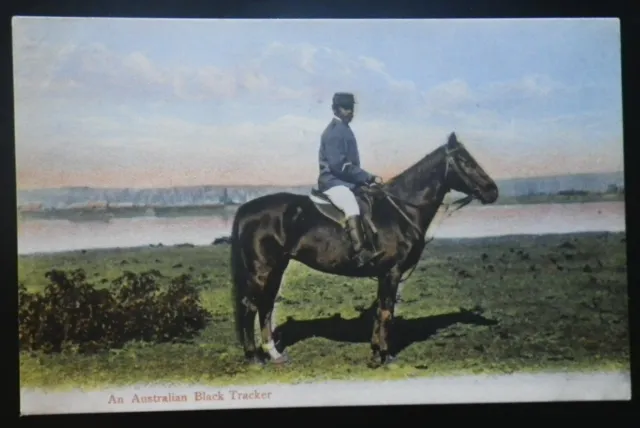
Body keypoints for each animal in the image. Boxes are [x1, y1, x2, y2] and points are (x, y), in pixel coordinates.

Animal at [230, 130, 500, 364]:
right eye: (465, 161)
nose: (493, 192)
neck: (400, 210)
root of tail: (246, 209)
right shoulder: (392, 272)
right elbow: (387, 312)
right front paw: (383, 356)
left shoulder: (385, 274)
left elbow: (381, 311)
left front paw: (377, 350)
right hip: (262, 271)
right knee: (250, 307)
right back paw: (254, 357)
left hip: (277, 269)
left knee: (265, 307)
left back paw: (274, 354)